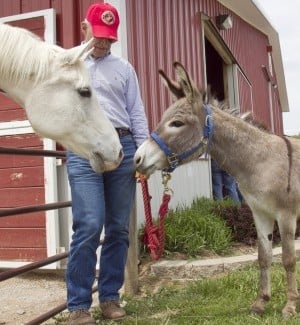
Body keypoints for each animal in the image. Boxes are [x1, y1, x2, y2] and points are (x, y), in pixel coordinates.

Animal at [135, 62, 300, 318]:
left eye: (177, 123)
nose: (137, 158)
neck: (261, 161)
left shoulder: (286, 214)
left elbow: (289, 259)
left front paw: (290, 306)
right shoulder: (260, 213)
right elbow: (264, 257)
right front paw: (261, 302)